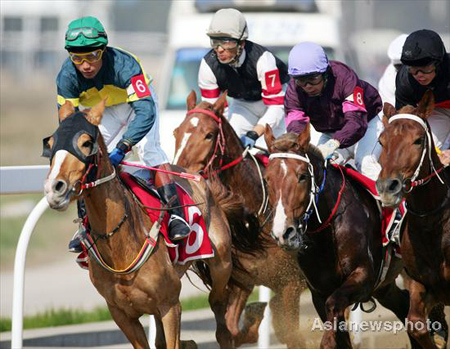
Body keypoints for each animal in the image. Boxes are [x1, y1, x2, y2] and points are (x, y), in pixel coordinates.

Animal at [43, 100, 236, 348]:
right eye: (50, 144)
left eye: (86, 143)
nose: (54, 188)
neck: (118, 244)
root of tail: (196, 175)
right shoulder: (121, 314)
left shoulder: (170, 305)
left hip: (221, 264)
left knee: (220, 309)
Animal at [172, 91, 306, 346]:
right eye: (176, 132)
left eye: (209, 135)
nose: (178, 173)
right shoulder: (240, 281)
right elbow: (230, 330)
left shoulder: (291, 285)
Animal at [264, 123, 422, 346]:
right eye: (267, 178)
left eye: (302, 176)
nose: (283, 232)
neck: (327, 233)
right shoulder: (319, 292)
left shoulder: (364, 277)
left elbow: (334, 309)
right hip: (385, 283)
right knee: (403, 304)